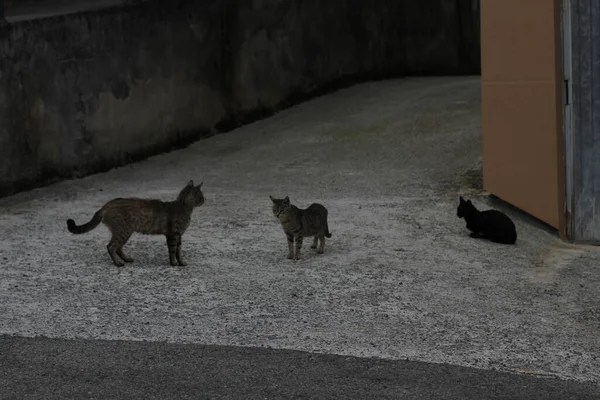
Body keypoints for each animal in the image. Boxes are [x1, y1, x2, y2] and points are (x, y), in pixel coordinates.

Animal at [67, 180, 205, 266]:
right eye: (201, 196)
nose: (205, 200)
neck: (183, 207)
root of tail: (105, 206)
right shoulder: (173, 235)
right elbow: (172, 251)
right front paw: (174, 263)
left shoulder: (179, 236)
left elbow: (179, 251)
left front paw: (181, 262)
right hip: (123, 231)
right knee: (111, 246)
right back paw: (118, 263)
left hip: (125, 232)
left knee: (118, 247)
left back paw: (126, 259)